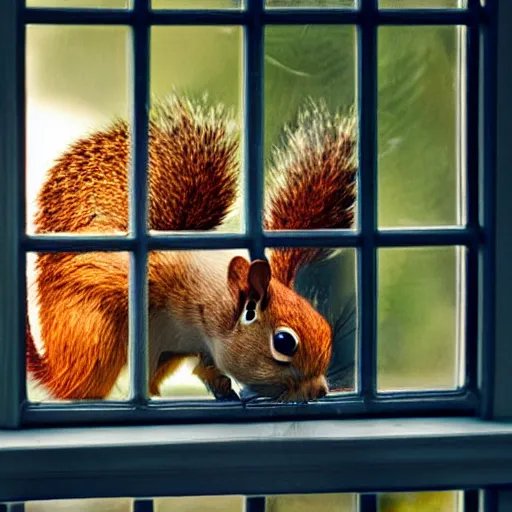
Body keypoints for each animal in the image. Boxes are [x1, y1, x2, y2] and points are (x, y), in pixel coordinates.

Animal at [26, 94, 356, 402]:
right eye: (285, 342)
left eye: (324, 326)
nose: (320, 390)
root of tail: (57, 371)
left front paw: (219, 382)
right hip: (96, 335)